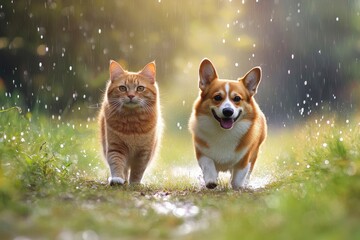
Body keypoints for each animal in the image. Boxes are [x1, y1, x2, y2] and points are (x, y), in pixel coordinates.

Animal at [190, 58, 266, 189]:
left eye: (237, 98)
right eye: (217, 97)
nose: (228, 111)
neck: (224, 132)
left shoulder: (245, 158)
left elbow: (238, 178)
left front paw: (239, 187)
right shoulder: (201, 152)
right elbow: (208, 164)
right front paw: (211, 181)